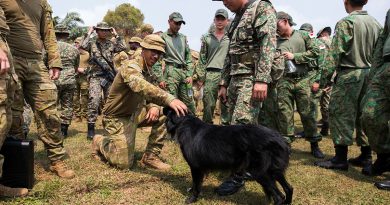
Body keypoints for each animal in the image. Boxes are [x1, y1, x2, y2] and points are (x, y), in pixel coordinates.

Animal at [163, 108, 294, 204]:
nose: (163, 108)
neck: (186, 122)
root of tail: (281, 139)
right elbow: (196, 184)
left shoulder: (195, 167)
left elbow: (196, 185)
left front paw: (192, 199)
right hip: (273, 171)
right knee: (288, 189)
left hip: (261, 173)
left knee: (278, 197)